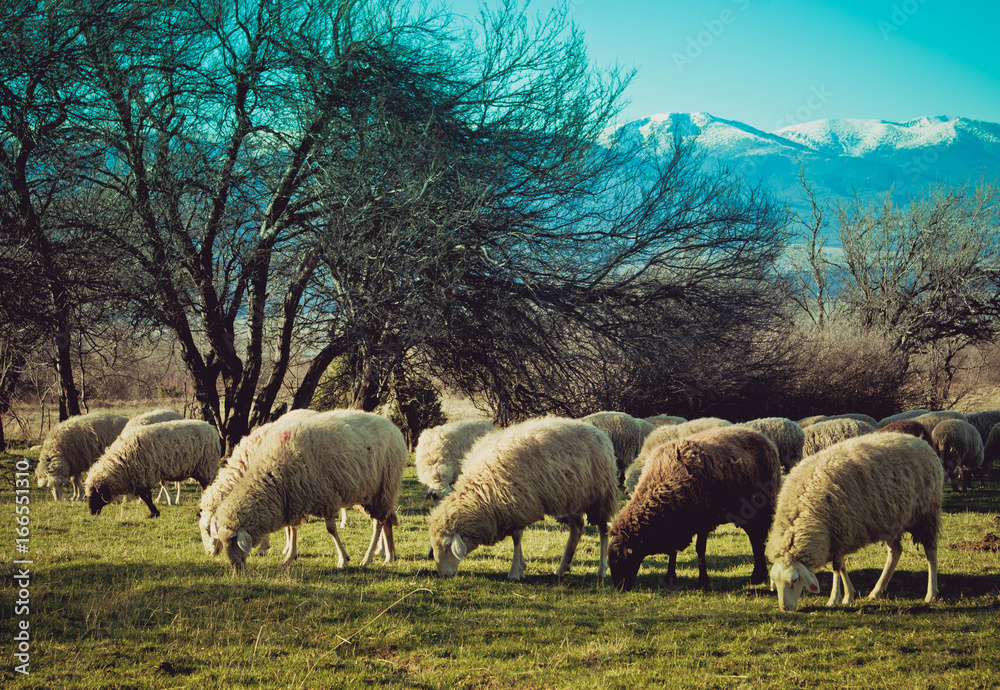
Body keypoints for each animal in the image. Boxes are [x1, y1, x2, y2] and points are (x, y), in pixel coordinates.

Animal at [86, 420, 221, 518]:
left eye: (95, 495)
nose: (92, 513)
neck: (122, 463)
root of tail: (212, 429)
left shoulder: (143, 477)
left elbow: (146, 497)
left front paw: (153, 513)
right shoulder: (141, 478)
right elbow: (146, 497)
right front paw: (154, 512)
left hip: (206, 467)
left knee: (206, 490)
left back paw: (200, 512)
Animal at [212, 410, 406, 570]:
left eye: (232, 540)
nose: (235, 567)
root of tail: (392, 426)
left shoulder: (325, 496)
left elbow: (331, 530)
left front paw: (343, 559)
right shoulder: (293, 498)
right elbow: (293, 528)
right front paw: (289, 557)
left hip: (384, 488)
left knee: (379, 523)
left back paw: (368, 558)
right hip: (373, 493)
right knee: (385, 521)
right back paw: (389, 556)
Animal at [429, 416, 618, 581]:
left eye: (447, 546)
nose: (444, 575)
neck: (481, 491)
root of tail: (598, 432)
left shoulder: (519, 504)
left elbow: (516, 538)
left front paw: (515, 571)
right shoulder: (513, 510)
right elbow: (516, 537)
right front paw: (522, 567)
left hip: (601, 496)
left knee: (603, 529)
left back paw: (601, 570)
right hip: (570, 499)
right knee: (577, 528)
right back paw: (562, 568)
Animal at [608, 426, 781, 592]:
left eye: (622, 559)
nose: (620, 588)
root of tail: (764, 438)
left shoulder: (703, 521)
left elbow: (700, 549)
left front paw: (702, 582)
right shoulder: (675, 523)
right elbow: (673, 551)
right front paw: (670, 577)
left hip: (762, 507)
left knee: (758, 540)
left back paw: (757, 576)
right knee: (755, 538)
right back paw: (757, 576)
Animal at [766, 432, 942, 612]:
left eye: (794, 581)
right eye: (776, 583)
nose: (785, 608)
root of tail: (919, 441)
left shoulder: (839, 531)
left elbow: (837, 568)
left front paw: (834, 598)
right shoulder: (837, 537)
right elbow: (842, 567)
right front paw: (848, 596)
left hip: (926, 514)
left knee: (931, 552)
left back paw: (931, 594)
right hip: (890, 521)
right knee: (896, 551)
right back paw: (876, 592)